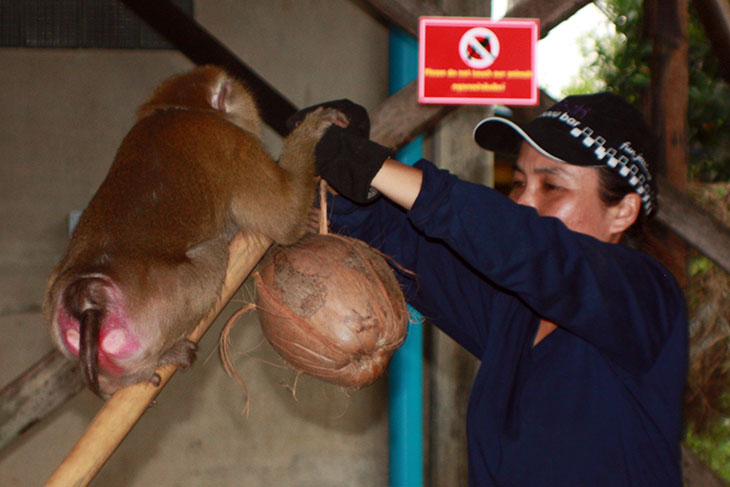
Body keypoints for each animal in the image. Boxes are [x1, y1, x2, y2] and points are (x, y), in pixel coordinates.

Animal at [42, 66, 344, 400]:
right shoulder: (233, 144)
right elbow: (285, 220)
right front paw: (314, 129)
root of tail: (87, 294)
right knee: (214, 254)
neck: (177, 109)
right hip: (167, 301)